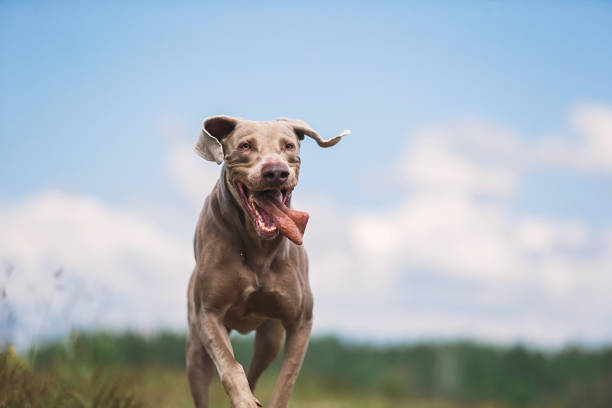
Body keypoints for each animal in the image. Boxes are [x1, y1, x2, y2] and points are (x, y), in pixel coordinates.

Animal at [185, 115, 350, 408]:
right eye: (245, 145)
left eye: (289, 145)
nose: (275, 171)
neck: (257, 247)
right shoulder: (209, 314)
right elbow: (230, 366)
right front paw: (244, 400)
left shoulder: (300, 322)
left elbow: (286, 381)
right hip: (195, 350)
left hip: (270, 337)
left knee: (255, 370)